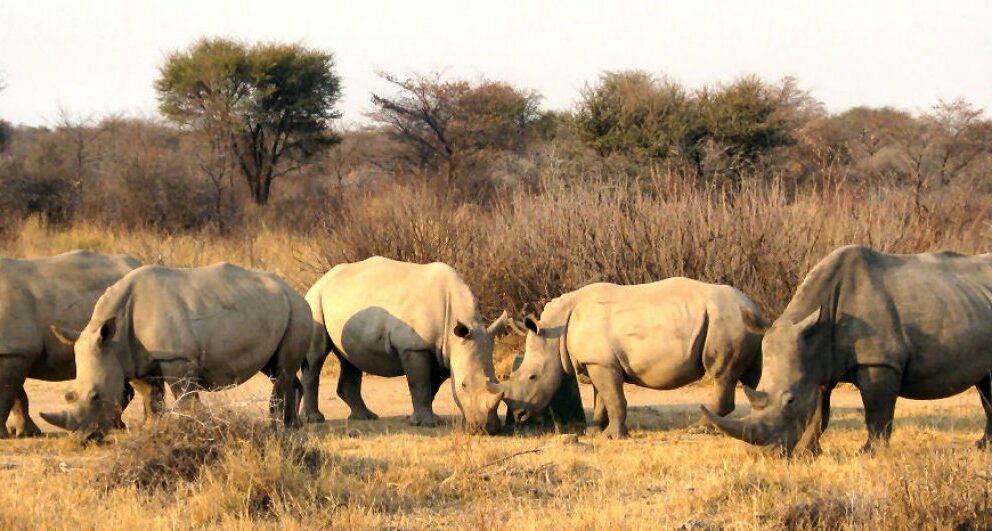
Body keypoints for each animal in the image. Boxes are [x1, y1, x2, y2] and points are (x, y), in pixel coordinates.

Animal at [0, 250, 140, 437]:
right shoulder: (16, 352)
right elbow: (17, 394)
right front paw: (26, 433)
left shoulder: (14, 350)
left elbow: (6, 391)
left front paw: (10, 434)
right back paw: (117, 426)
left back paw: (116, 427)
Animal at [41, 263, 315, 440]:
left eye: (96, 396)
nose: (82, 438)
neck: (114, 339)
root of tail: (294, 289)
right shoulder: (136, 359)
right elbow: (151, 398)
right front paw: (150, 431)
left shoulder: (176, 357)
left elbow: (184, 398)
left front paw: (190, 429)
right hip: (274, 309)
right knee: (277, 369)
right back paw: (294, 426)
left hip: (298, 310)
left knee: (282, 371)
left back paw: (277, 429)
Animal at [302, 257, 509, 435]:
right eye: (464, 385)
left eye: (496, 381)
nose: (487, 429)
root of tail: (323, 279)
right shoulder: (414, 346)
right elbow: (420, 384)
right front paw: (425, 423)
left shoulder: (445, 352)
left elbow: (431, 387)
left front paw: (425, 419)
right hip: (315, 300)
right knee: (316, 356)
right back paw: (315, 419)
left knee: (350, 359)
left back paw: (366, 417)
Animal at [501, 277, 766, 439]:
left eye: (532, 377)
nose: (519, 415)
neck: (555, 333)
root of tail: (754, 307)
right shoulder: (599, 361)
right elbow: (602, 399)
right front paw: (593, 431)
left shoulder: (602, 362)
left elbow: (614, 398)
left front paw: (613, 436)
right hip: (738, 322)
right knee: (749, 378)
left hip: (727, 321)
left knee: (722, 375)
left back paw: (698, 429)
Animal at [702, 245, 992, 456]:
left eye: (790, 401)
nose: (766, 454)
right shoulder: (817, 361)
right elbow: (819, 412)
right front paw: (808, 453)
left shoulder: (878, 361)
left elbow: (876, 411)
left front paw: (869, 452)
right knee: (986, 386)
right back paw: (982, 447)